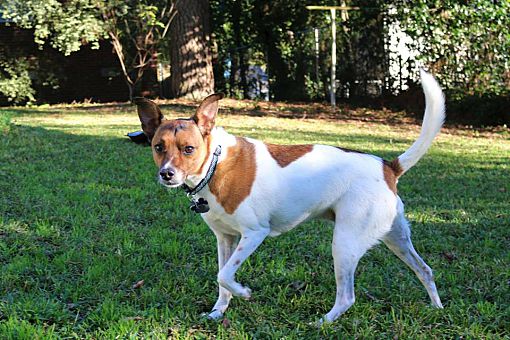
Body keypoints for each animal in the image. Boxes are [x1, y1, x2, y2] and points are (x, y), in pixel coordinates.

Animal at [135, 69, 446, 324]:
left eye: (188, 149)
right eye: (158, 147)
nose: (167, 174)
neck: (216, 162)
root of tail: (388, 166)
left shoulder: (254, 233)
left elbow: (224, 275)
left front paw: (244, 292)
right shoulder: (225, 239)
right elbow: (222, 280)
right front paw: (217, 312)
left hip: (345, 243)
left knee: (347, 297)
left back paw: (323, 322)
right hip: (397, 239)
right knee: (426, 270)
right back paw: (437, 308)